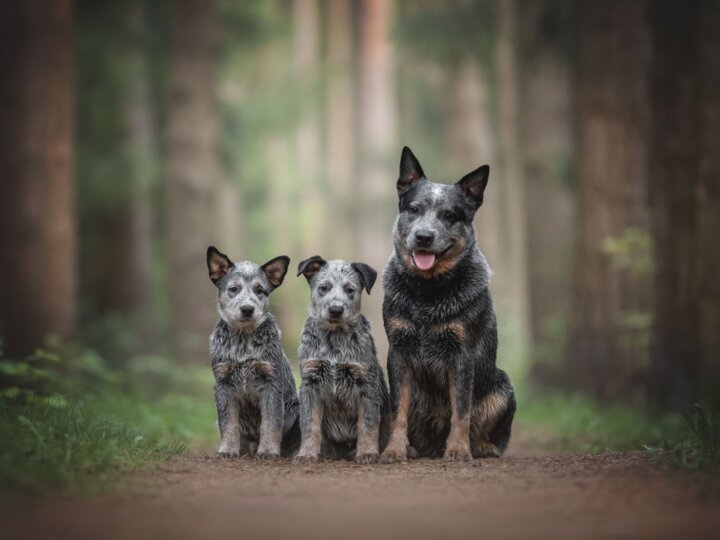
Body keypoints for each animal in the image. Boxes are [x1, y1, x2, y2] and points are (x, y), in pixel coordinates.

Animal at [207, 246, 300, 460]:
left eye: (260, 290)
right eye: (233, 289)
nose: (247, 309)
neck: (243, 342)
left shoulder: (271, 384)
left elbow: (270, 424)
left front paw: (268, 451)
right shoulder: (223, 384)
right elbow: (228, 424)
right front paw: (227, 450)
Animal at [292, 258, 390, 464]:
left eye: (349, 289)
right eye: (324, 288)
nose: (335, 310)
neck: (334, 339)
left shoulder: (366, 381)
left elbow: (368, 424)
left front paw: (367, 453)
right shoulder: (310, 382)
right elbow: (309, 424)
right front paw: (306, 454)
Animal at [380, 148, 516, 464]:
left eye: (449, 215)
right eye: (414, 209)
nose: (424, 237)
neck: (428, 293)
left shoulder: (462, 354)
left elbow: (461, 410)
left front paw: (458, 449)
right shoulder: (398, 351)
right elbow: (398, 411)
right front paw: (394, 449)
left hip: (502, 386)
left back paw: (481, 447)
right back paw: (413, 448)